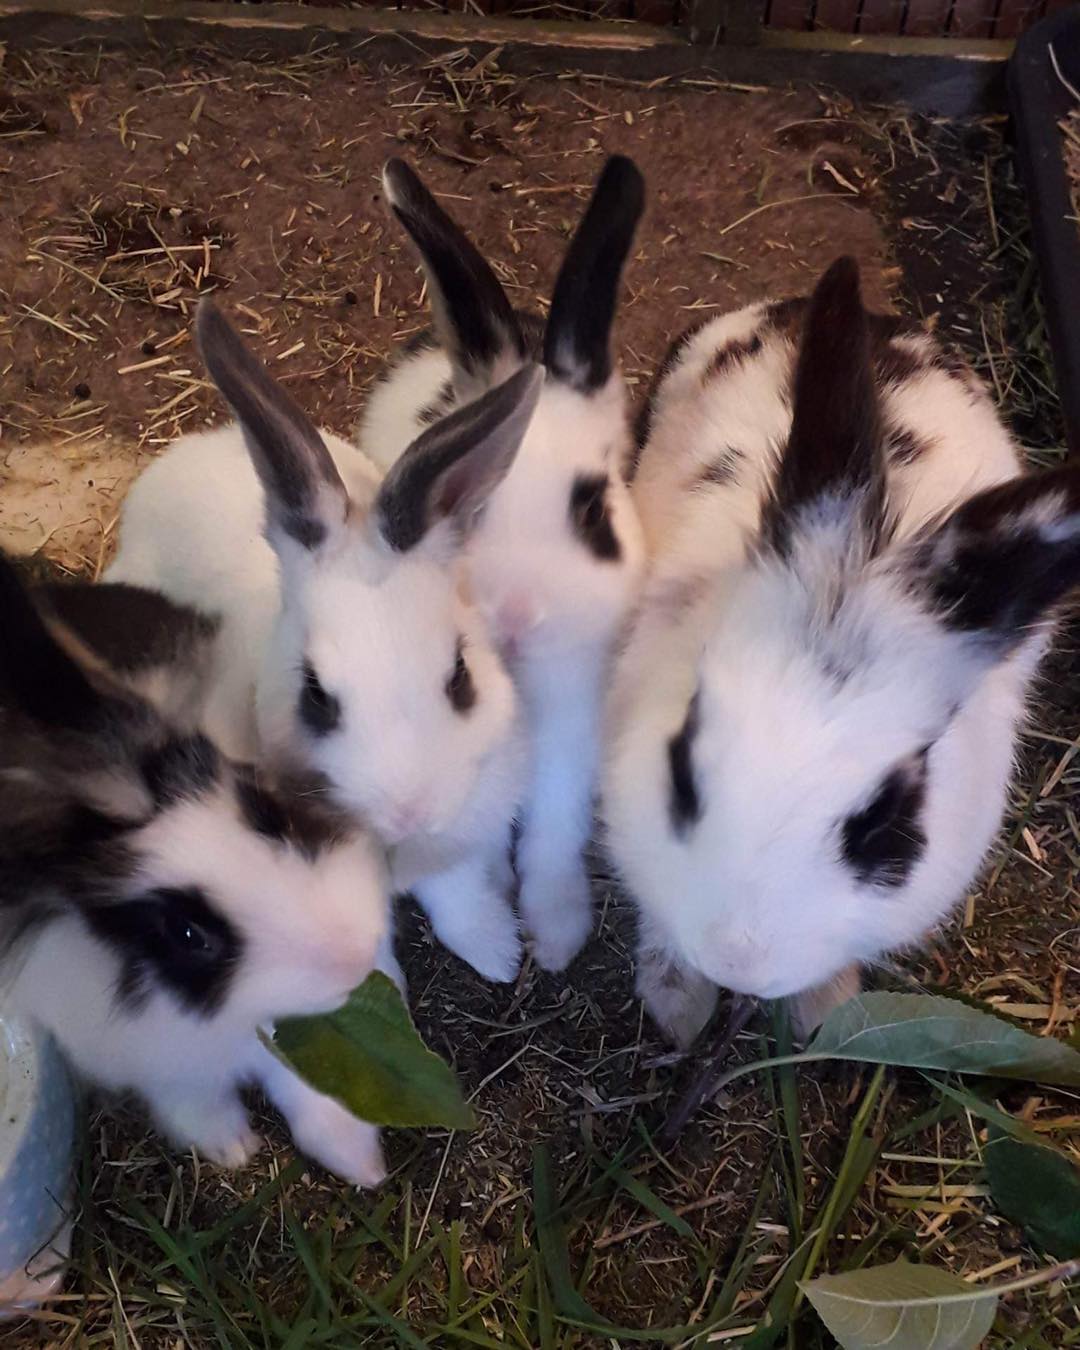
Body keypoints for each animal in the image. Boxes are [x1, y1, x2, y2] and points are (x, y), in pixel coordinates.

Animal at [0, 551, 395, 1185]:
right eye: (188, 935)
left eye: (265, 815)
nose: (355, 956)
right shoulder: (144, 1051)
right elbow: (190, 1095)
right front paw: (231, 1147)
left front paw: (360, 1162)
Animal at [108, 300, 543, 984]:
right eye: (314, 694)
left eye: (460, 675)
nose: (409, 811)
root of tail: (181, 454)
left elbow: (458, 892)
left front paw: (496, 951)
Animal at [357, 155, 647, 972]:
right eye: (463, 509)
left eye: (594, 509)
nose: (516, 618)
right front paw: (496, 941)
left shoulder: (569, 730)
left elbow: (553, 833)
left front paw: (555, 935)